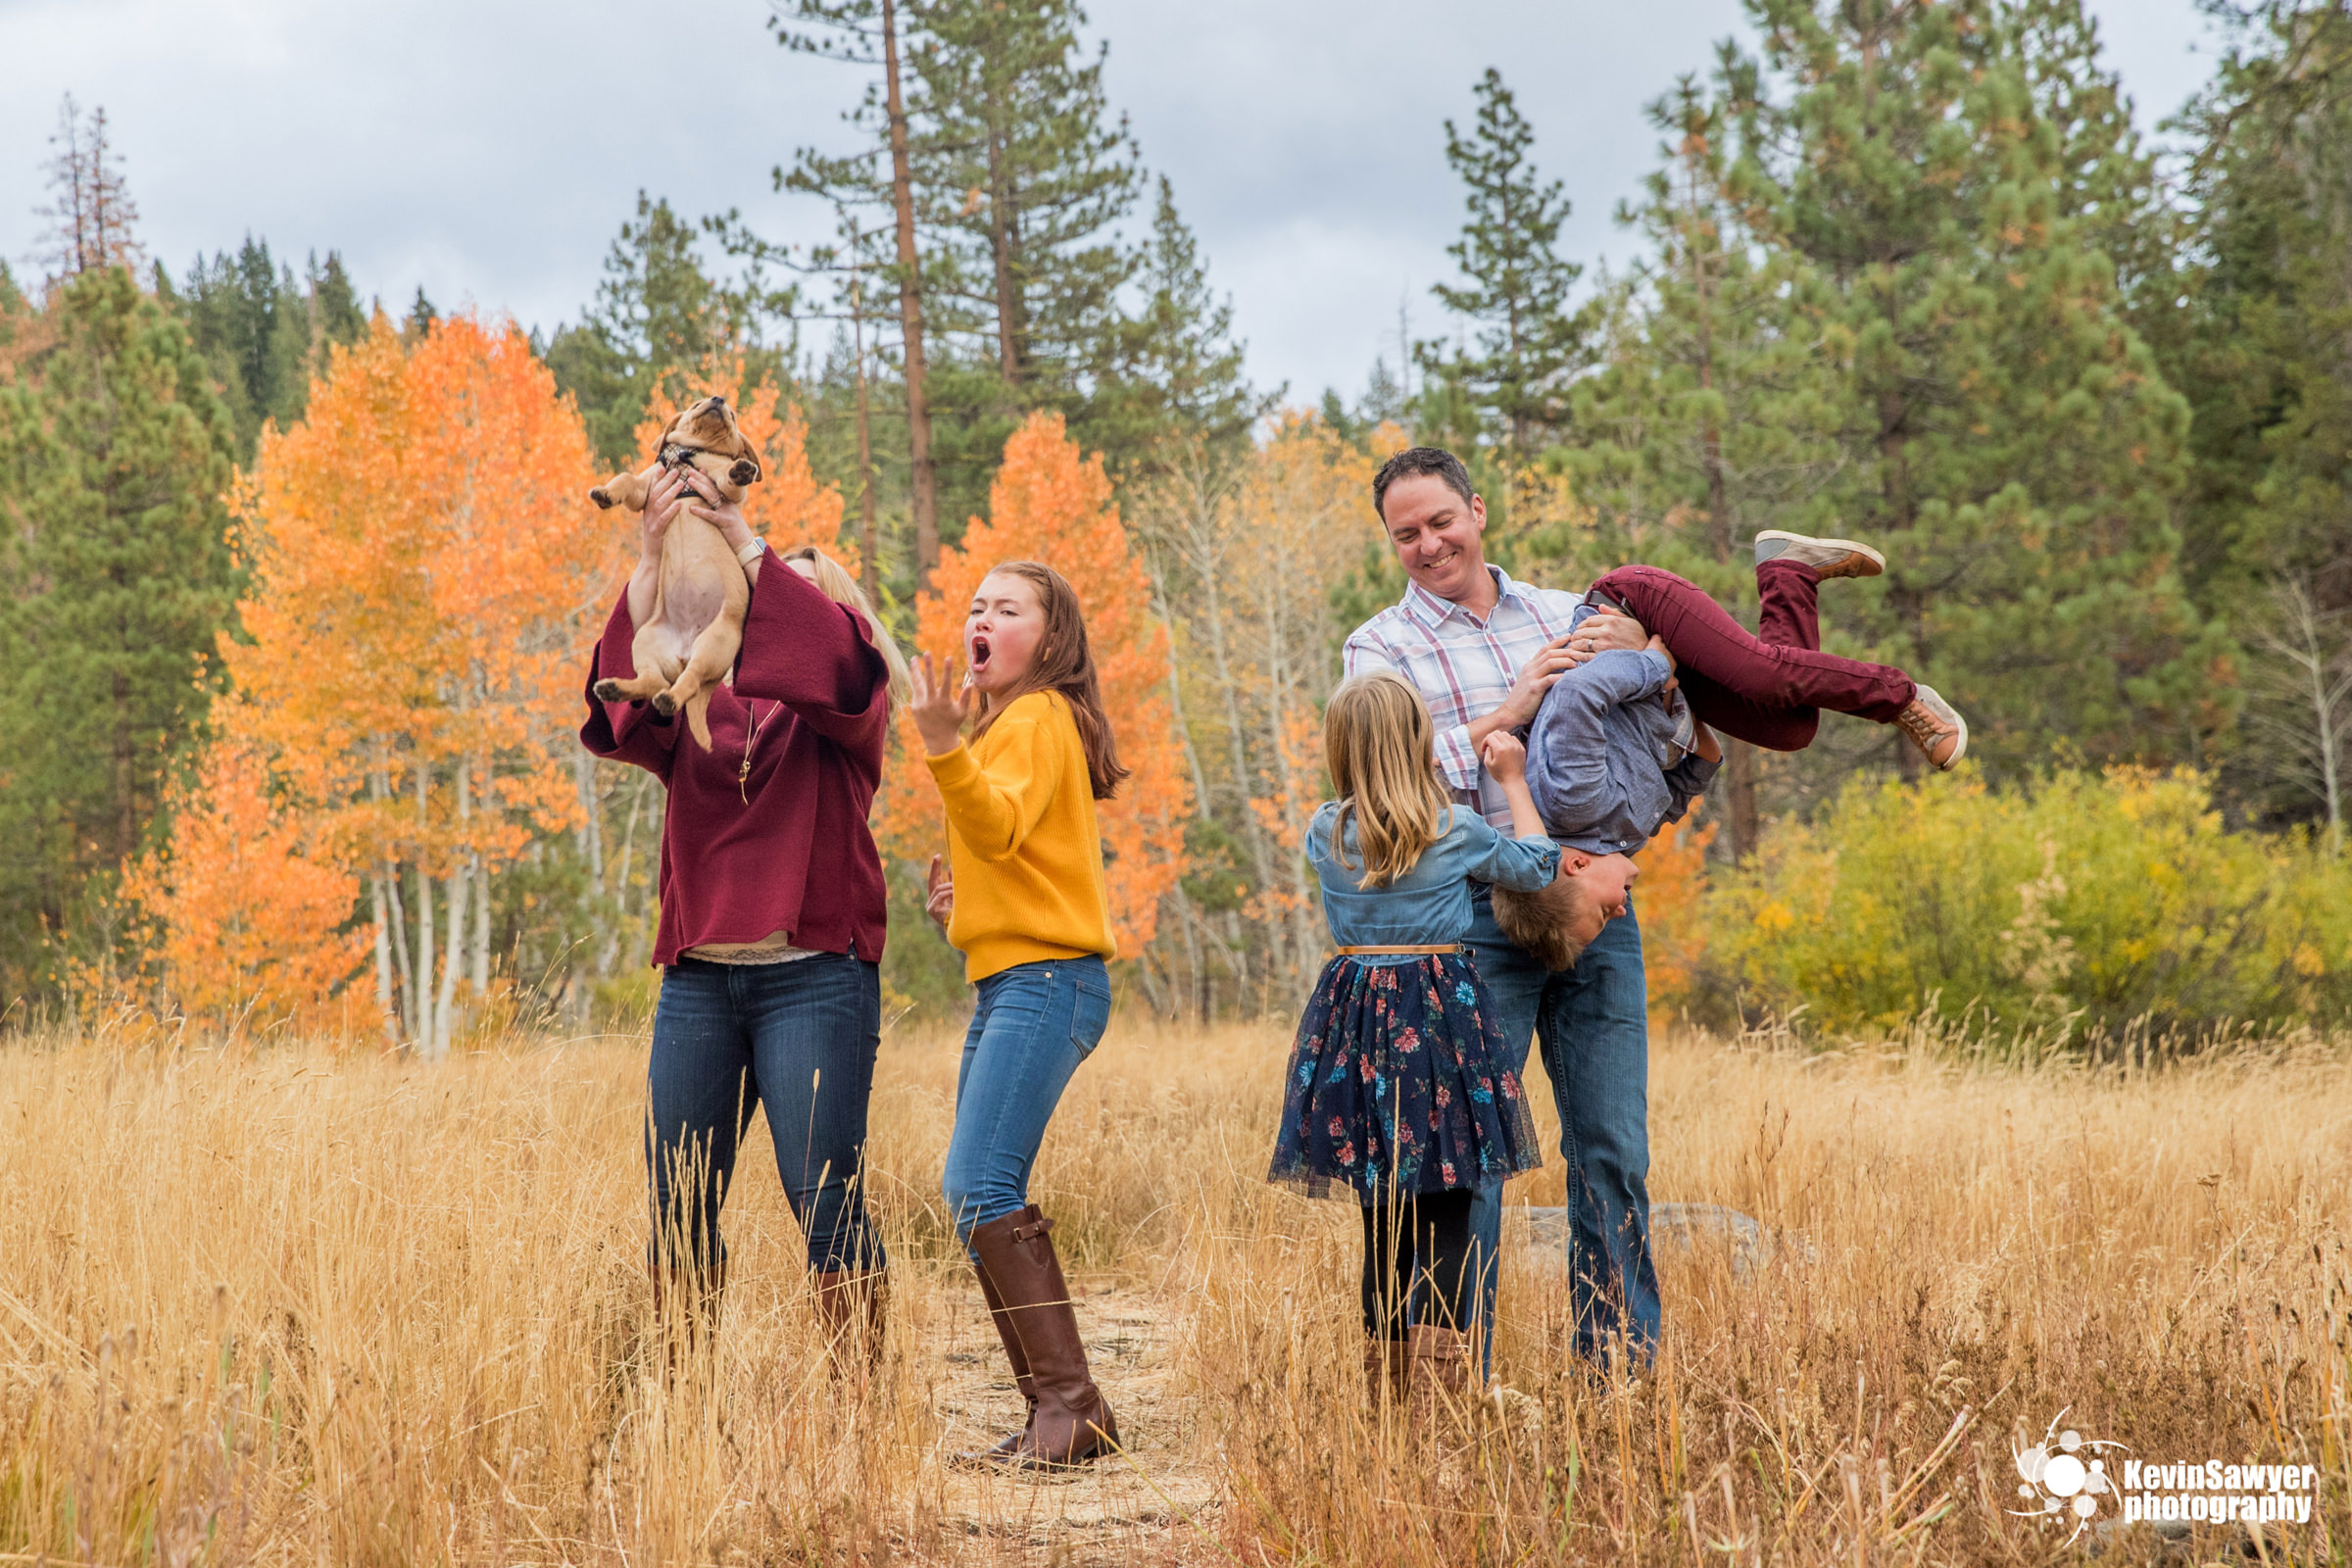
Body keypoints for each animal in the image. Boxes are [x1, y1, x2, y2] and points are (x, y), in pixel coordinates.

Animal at [585, 399, 761, 752]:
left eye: (734, 414)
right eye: (697, 403)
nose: (718, 399)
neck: (689, 454)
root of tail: (684, 650)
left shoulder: (725, 490)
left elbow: (728, 478)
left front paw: (740, 470)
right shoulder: (647, 487)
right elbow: (625, 478)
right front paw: (605, 493)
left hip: (714, 644)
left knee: (688, 682)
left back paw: (670, 698)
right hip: (644, 642)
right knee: (653, 682)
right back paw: (617, 689)